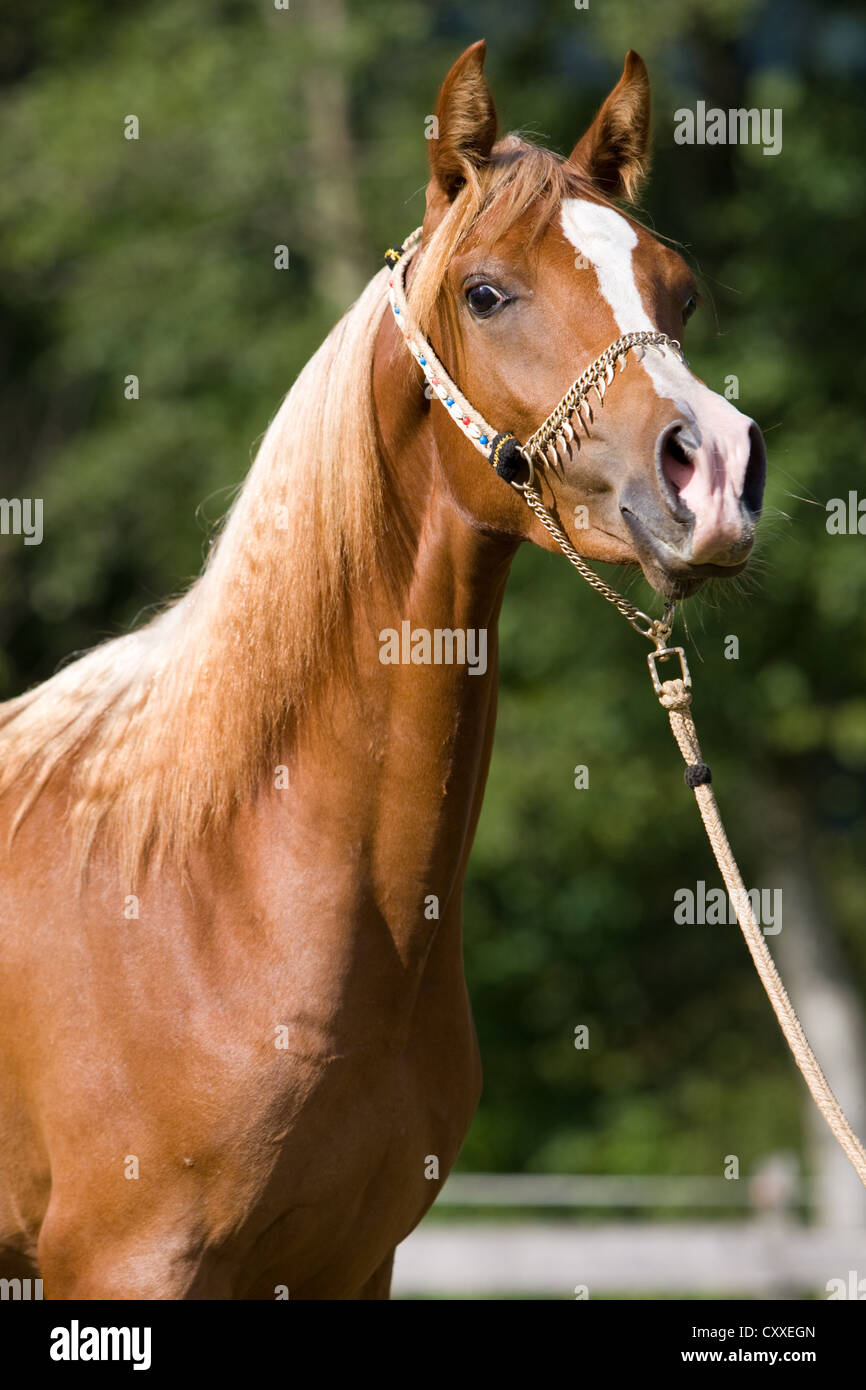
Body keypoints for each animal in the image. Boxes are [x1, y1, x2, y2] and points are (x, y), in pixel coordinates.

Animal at [0, 41, 765, 1299]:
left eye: (679, 291)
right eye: (485, 292)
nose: (712, 474)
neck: (218, 879)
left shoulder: (353, 1263)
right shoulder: (127, 1262)